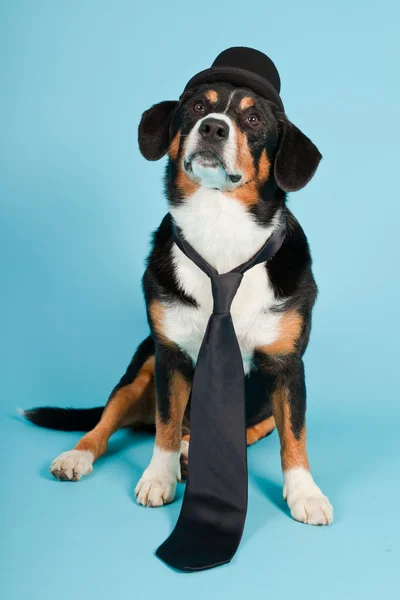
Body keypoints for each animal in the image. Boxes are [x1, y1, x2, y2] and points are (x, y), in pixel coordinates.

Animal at [23, 48, 332, 524]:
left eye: (254, 118)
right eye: (199, 106)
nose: (213, 128)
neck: (220, 231)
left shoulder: (286, 366)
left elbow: (294, 437)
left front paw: (306, 494)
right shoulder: (169, 357)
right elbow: (165, 428)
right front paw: (158, 478)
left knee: (248, 430)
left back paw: (193, 451)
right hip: (140, 369)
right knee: (107, 422)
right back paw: (78, 455)